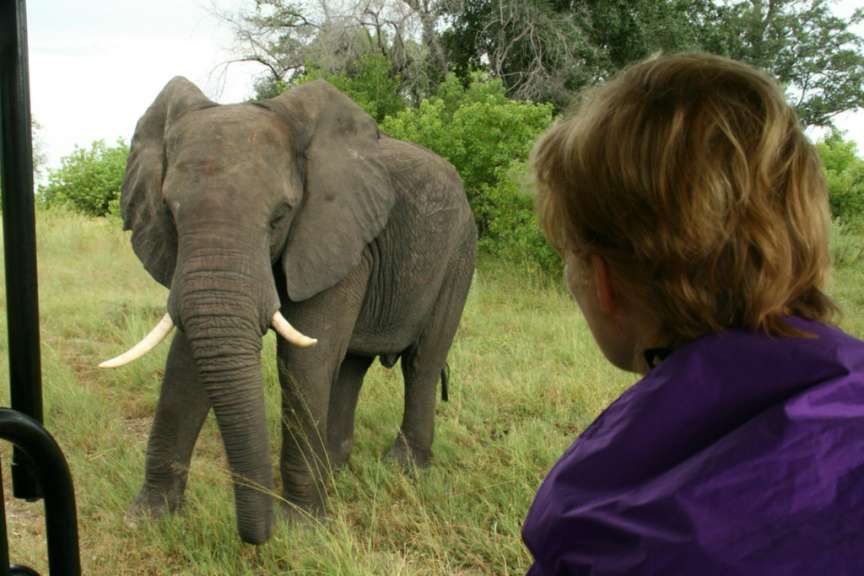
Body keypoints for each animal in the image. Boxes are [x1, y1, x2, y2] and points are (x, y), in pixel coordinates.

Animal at [100, 76, 476, 545]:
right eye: (169, 212)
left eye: (280, 216)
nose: (256, 537)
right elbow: (185, 363)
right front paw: (147, 520)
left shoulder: (337, 235)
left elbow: (303, 361)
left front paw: (302, 530)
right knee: (352, 364)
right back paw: (335, 470)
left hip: (459, 253)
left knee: (422, 363)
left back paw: (403, 468)